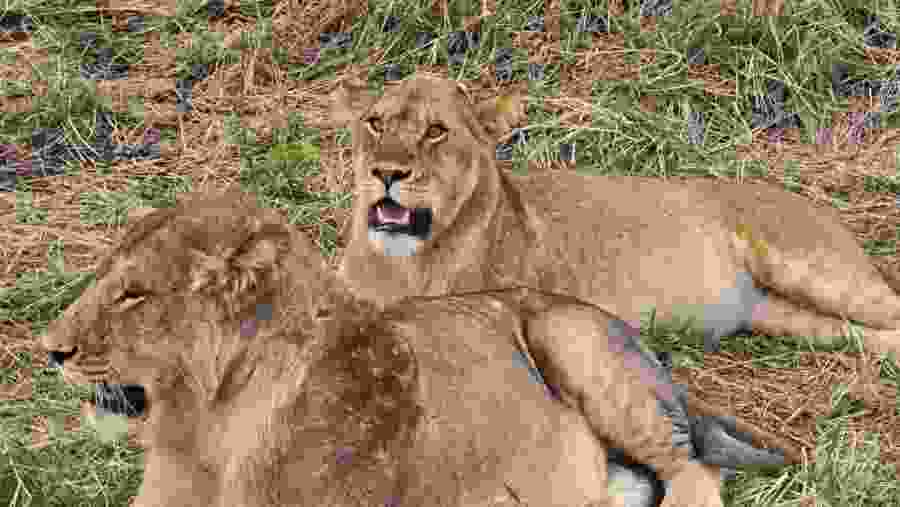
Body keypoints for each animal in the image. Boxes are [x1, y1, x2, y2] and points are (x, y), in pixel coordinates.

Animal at [332, 75, 900, 359]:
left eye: (436, 131)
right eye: (375, 123)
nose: (386, 172)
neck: (402, 265)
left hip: (814, 271)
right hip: (790, 318)